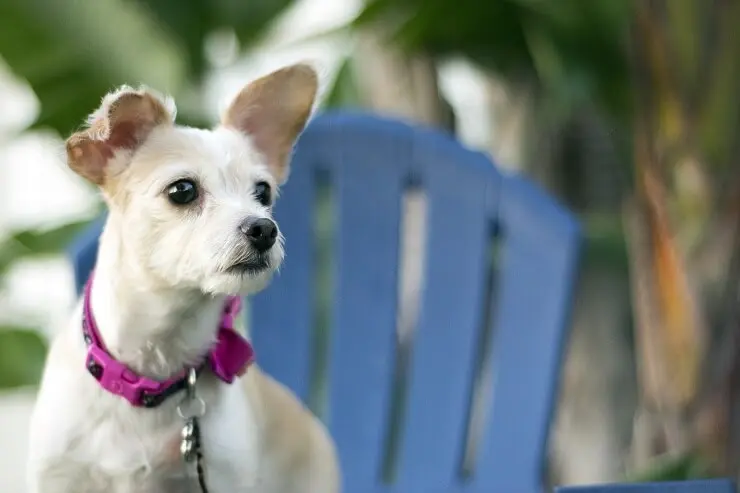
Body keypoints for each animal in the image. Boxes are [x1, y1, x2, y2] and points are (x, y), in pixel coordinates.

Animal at [26, 63, 342, 490]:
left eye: (263, 193)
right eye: (183, 190)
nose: (264, 228)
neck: (155, 365)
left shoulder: (222, 476)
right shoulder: (57, 474)